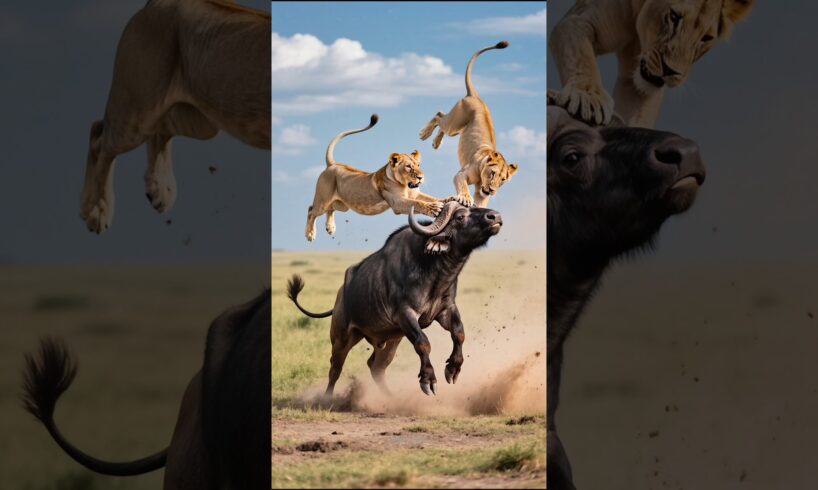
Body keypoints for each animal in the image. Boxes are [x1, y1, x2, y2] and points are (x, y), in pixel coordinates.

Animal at [80, 0, 270, 234]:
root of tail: (156, 3)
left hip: (199, 122)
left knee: (160, 131)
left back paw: (160, 190)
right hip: (136, 113)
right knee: (99, 136)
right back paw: (95, 210)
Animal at [287, 201, 502, 396]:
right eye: (460, 217)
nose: (495, 216)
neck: (435, 272)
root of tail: (341, 295)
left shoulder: (446, 309)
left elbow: (459, 333)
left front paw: (453, 368)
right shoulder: (405, 314)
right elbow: (423, 342)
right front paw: (428, 379)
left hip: (391, 340)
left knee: (375, 366)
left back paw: (389, 397)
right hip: (342, 337)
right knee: (335, 368)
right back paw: (328, 398)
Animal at [305, 114, 444, 242]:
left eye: (418, 165)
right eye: (408, 167)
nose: (421, 177)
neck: (406, 185)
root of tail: (333, 164)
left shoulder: (415, 194)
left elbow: (430, 198)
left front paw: (445, 200)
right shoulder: (397, 203)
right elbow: (417, 203)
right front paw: (434, 208)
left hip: (342, 205)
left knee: (330, 209)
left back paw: (330, 227)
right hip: (323, 200)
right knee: (311, 210)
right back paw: (310, 234)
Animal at [419, 41, 519, 208]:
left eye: (503, 180)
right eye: (493, 173)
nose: (492, 190)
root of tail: (474, 96)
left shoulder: (482, 193)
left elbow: (481, 203)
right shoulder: (461, 174)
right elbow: (463, 185)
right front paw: (465, 198)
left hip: (458, 130)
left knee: (441, 124)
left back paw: (436, 143)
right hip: (454, 124)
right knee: (439, 116)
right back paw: (424, 134)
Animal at [549, 0, 753, 128]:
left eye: (707, 38)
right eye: (674, 16)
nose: (671, 71)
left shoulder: (635, 82)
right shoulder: (578, 20)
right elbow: (580, 55)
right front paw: (588, 99)